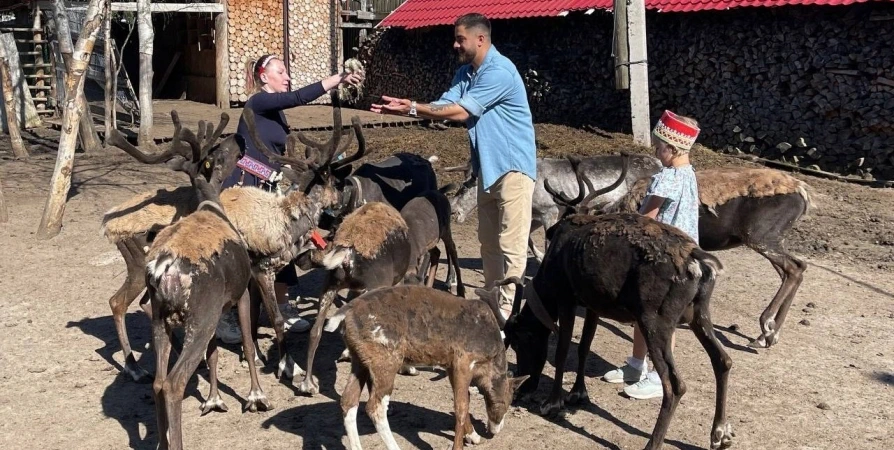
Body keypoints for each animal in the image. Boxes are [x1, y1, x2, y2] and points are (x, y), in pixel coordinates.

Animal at [326, 286, 528, 448]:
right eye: (506, 401)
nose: (495, 430)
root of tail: (345, 314)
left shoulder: (450, 367)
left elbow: (466, 401)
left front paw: (473, 436)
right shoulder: (463, 361)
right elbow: (461, 407)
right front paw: (460, 444)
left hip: (359, 360)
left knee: (348, 401)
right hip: (386, 359)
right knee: (375, 407)